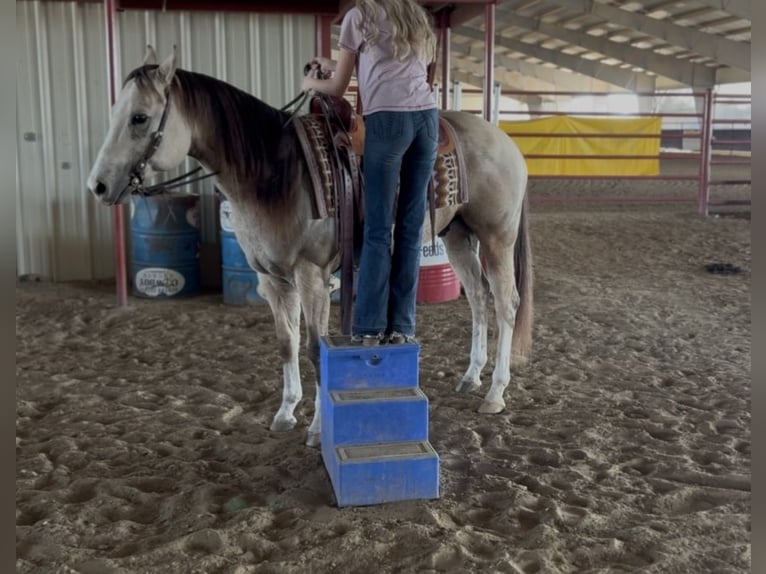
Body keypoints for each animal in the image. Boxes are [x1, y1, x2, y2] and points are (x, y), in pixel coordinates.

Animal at [86, 46, 533, 447]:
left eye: (139, 117)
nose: (98, 186)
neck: (272, 172)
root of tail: (505, 142)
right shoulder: (271, 279)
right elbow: (287, 344)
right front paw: (285, 413)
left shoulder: (311, 276)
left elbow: (315, 349)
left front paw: (319, 428)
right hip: (457, 237)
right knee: (478, 299)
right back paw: (471, 377)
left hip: (497, 238)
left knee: (506, 302)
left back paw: (495, 392)